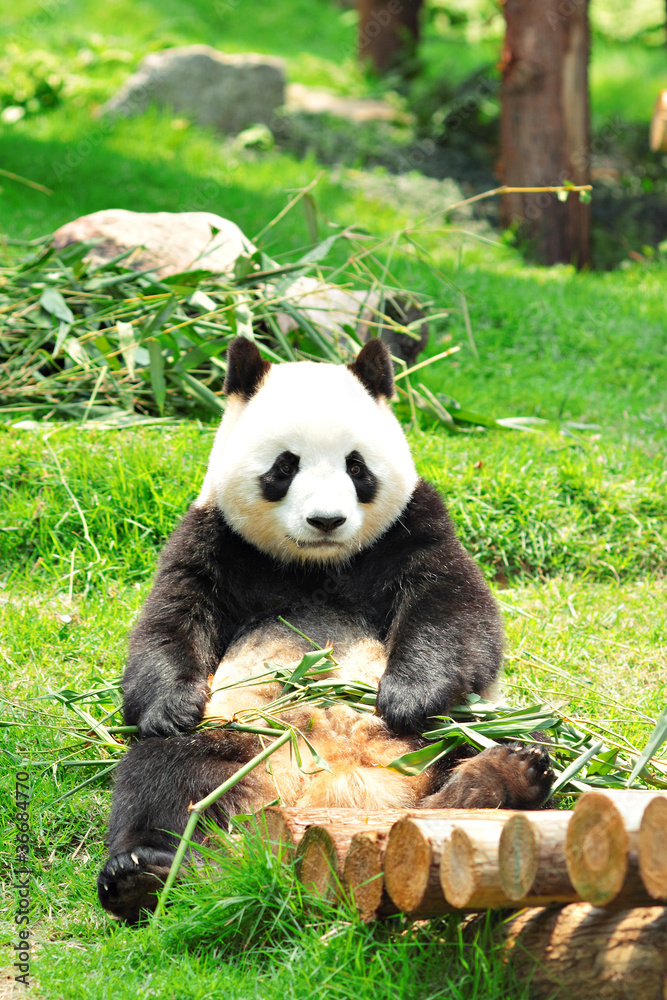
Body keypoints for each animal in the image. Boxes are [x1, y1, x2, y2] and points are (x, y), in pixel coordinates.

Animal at [97, 337, 553, 923]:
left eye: (356, 466)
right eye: (284, 466)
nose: (327, 521)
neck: (314, 565)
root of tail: (342, 797)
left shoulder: (412, 525)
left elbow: (455, 609)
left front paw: (407, 696)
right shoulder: (214, 535)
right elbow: (171, 615)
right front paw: (170, 707)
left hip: (455, 729)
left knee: (507, 735)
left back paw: (502, 775)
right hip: (239, 740)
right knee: (162, 780)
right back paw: (141, 875)